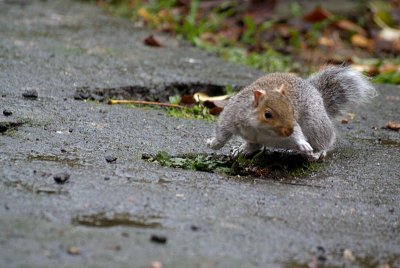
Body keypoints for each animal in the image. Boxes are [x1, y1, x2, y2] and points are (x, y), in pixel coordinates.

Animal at [208, 66, 376, 161]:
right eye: (267, 114)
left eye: (292, 110)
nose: (289, 131)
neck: (260, 129)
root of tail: (317, 94)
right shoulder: (232, 114)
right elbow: (222, 130)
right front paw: (214, 143)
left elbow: (298, 134)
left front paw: (302, 143)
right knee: (255, 145)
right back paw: (242, 149)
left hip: (314, 123)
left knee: (325, 138)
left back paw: (316, 152)